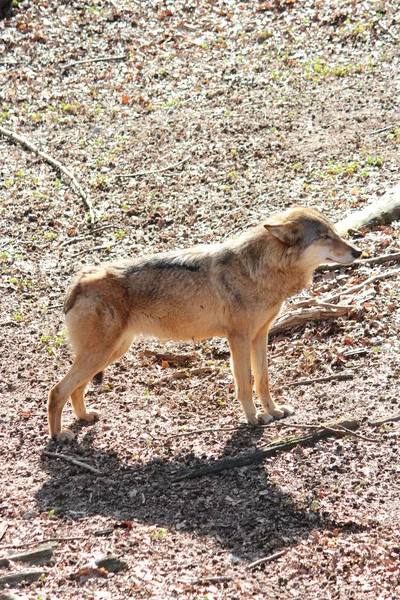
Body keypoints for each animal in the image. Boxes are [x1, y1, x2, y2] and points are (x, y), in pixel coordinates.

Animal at [48, 206, 360, 440]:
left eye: (334, 232)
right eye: (325, 236)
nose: (357, 252)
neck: (259, 270)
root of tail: (79, 281)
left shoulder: (260, 335)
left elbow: (263, 381)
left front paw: (272, 411)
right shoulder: (238, 338)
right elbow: (245, 383)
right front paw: (253, 418)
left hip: (112, 353)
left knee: (75, 389)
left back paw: (84, 417)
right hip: (101, 354)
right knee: (56, 391)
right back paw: (58, 436)